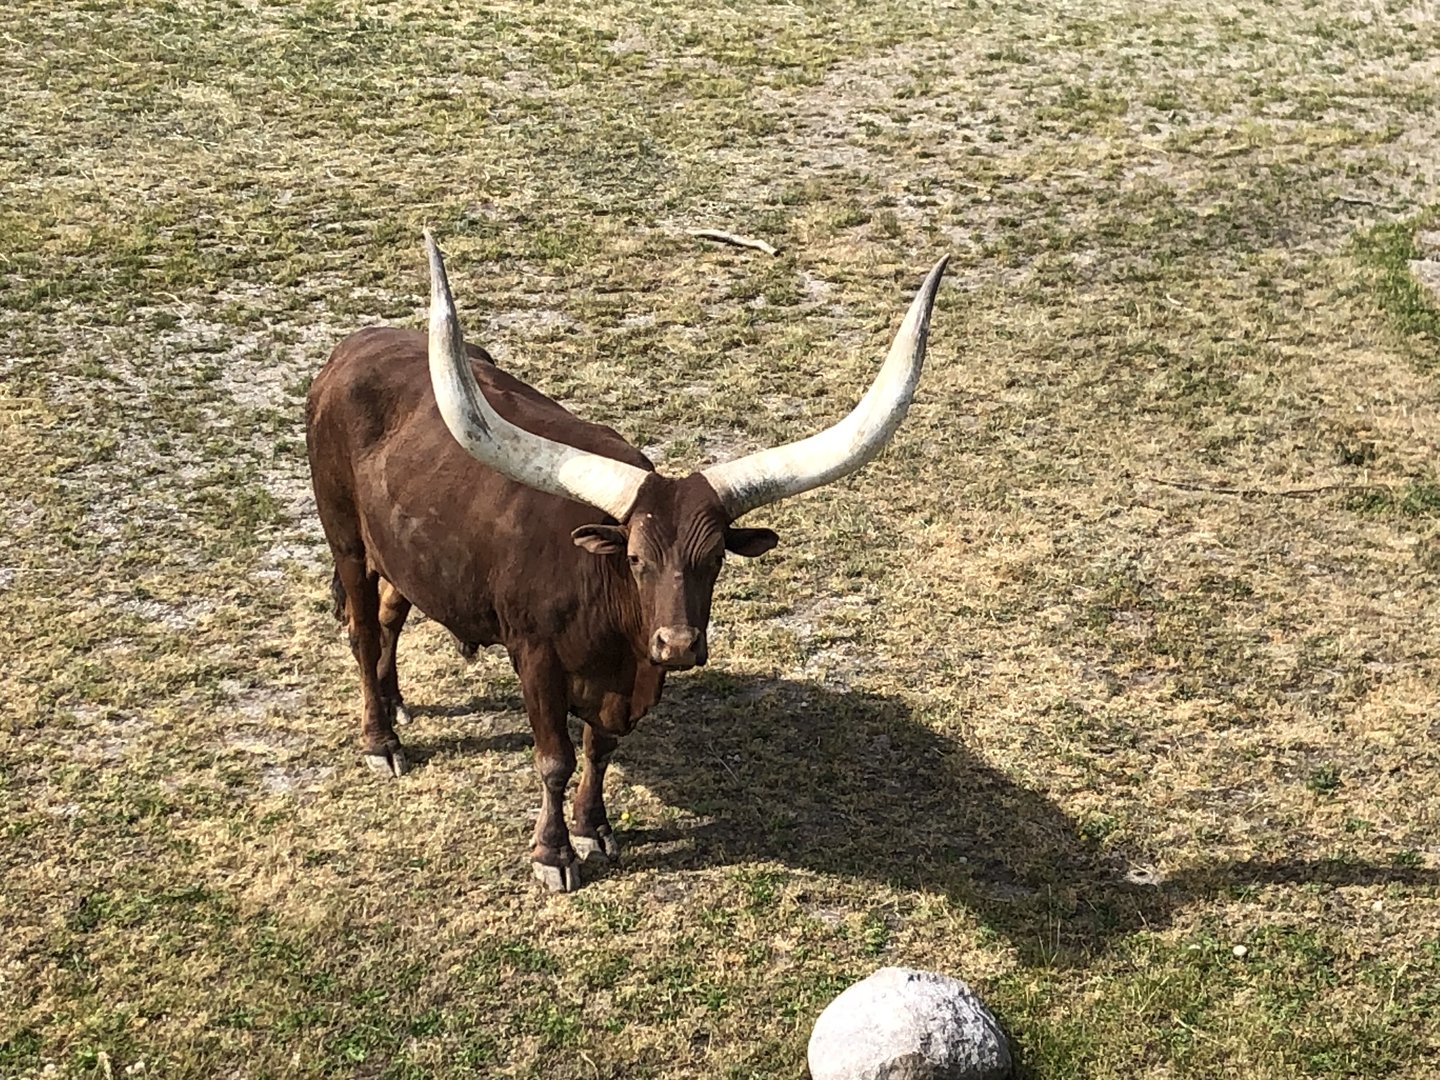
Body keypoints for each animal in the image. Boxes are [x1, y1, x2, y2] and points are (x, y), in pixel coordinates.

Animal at [305, 233, 947, 890]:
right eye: (635, 558)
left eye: (714, 558)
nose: (679, 644)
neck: (614, 629)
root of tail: (350, 350)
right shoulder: (535, 658)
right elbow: (555, 758)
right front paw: (553, 854)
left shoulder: (625, 682)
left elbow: (600, 750)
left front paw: (594, 828)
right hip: (345, 539)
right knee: (361, 629)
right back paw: (380, 739)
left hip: (403, 552)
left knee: (391, 612)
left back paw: (396, 702)